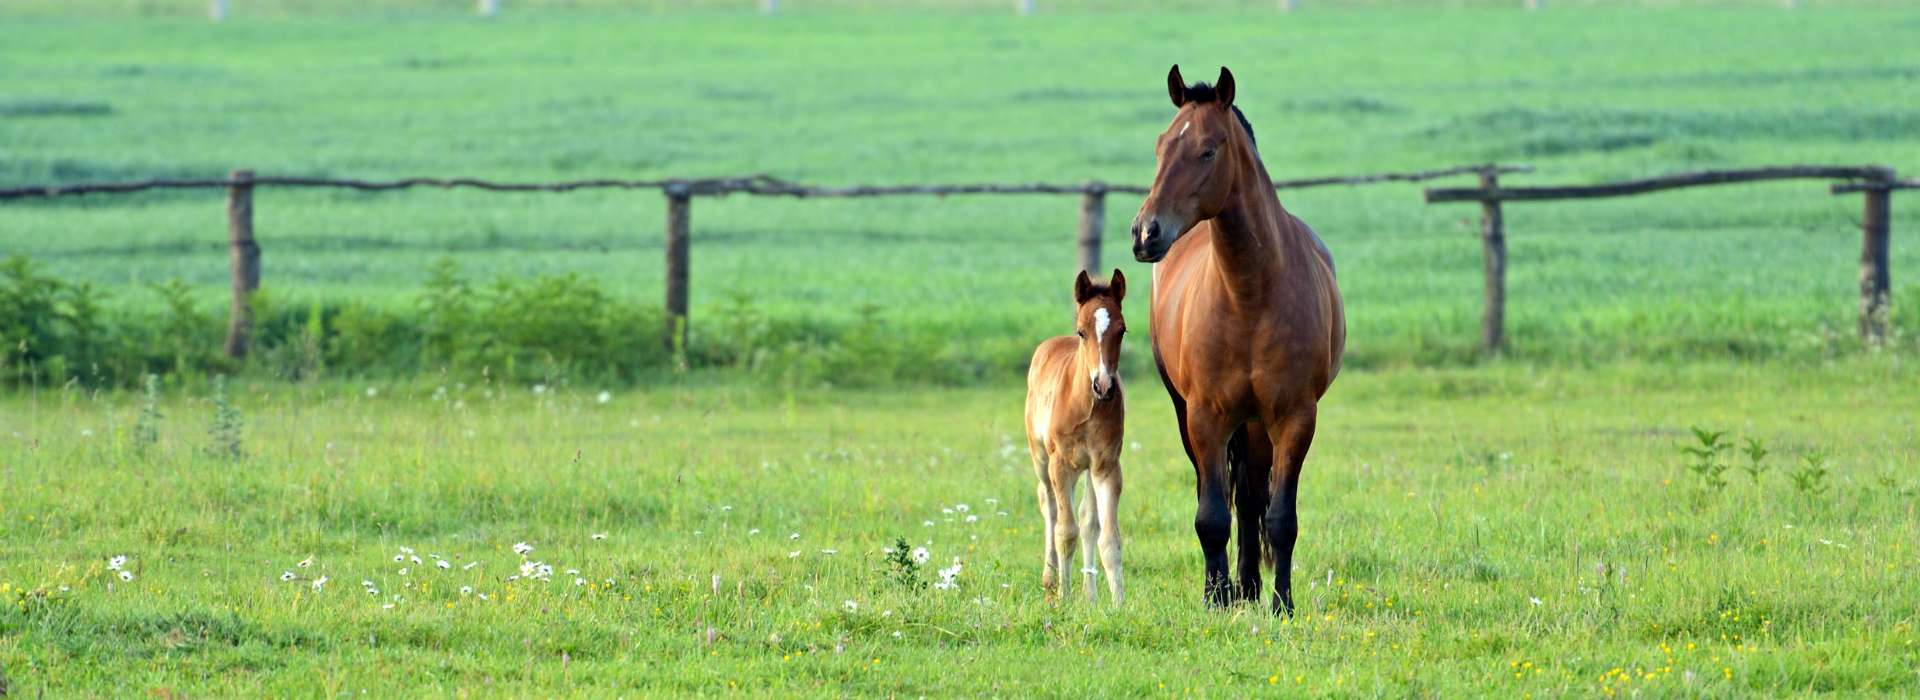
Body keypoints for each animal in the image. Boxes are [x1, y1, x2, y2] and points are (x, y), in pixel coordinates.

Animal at [1024, 269, 1130, 604]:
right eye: (1082, 332)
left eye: (1122, 331)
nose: (1104, 386)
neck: (1086, 405)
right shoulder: (1061, 465)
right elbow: (1065, 531)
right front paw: (1065, 598)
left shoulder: (1106, 466)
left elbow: (1107, 537)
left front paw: (1118, 605)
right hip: (1040, 457)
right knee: (1049, 505)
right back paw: (1050, 580)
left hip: (1087, 469)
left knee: (1088, 522)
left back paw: (1091, 595)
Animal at [1129, 66, 1345, 614]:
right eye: (1160, 145)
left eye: (1208, 150)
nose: (1145, 234)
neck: (1250, 294)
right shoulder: (1205, 417)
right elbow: (1210, 516)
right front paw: (1216, 597)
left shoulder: (1294, 418)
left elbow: (1280, 519)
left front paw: (1281, 604)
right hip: (1193, 414)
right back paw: (1233, 588)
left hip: (1256, 423)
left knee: (1250, 498)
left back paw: (1250, 585)